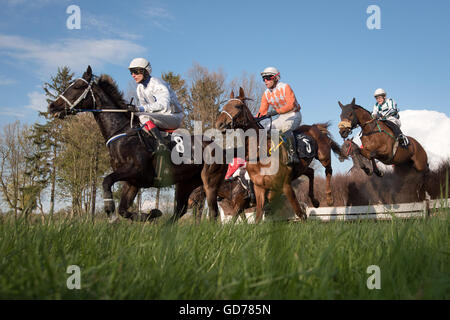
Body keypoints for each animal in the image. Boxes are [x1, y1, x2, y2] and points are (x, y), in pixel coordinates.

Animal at [47, 64, 206, 220]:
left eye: (78, 86)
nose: (52, 106)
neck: (122, 133)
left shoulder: (135, 171)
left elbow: (106, 181)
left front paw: (110, 210)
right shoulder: (132, 182)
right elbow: (123, 210)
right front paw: (151, 214)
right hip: (187, 182)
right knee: (182, 209)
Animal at [214, 87, 342, 222]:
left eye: (237, 106)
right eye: (224, 106)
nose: (219, 124)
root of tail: (314, 127)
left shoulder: (285, 185)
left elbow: (300, 213)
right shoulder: (259, 189)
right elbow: (257, 217)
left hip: (323, 155)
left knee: (328, 170)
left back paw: (329, 198)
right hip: (301, 168)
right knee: (311, 172)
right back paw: (315, 201)